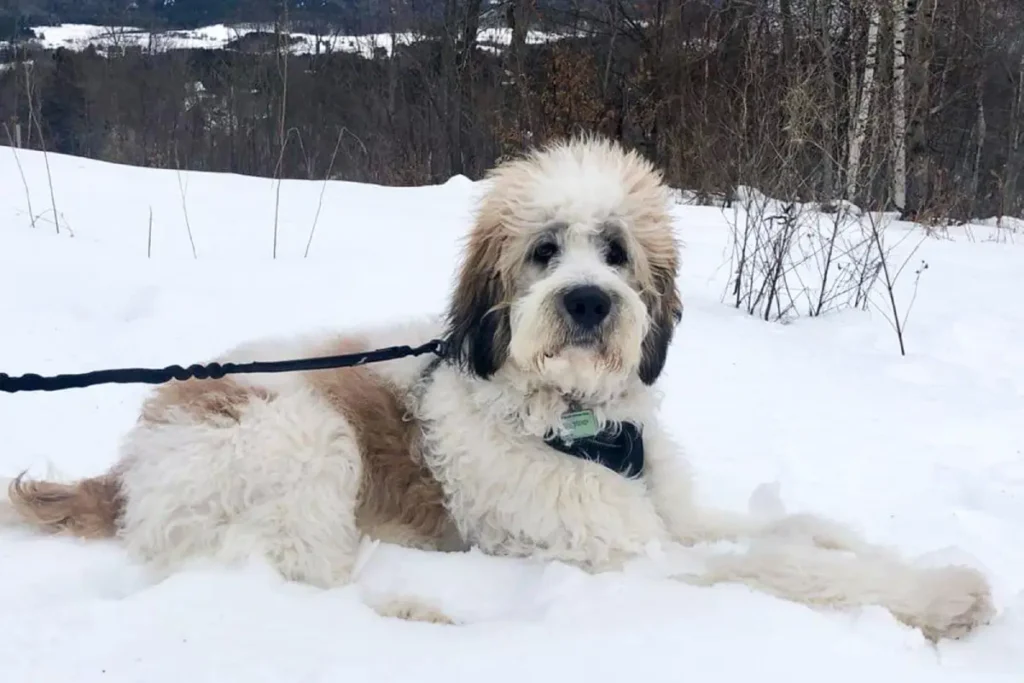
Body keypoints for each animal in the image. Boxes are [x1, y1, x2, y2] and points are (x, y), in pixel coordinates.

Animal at [0, 135, 991, 643]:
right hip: (303, 439)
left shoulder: (666, 510)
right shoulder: (635, 557)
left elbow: (784, 531)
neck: (580, 421)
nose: (588, 301)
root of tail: (125, 465)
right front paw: (942, 596)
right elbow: (780, 567)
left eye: (616, 251)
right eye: (545, 251)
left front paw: (857, 541)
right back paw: (426, 612)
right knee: (301, 582)